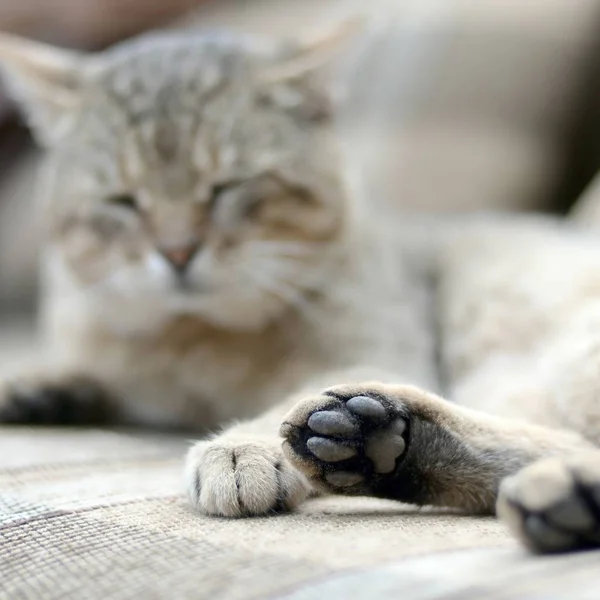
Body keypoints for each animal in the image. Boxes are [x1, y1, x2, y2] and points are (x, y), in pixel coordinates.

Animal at [1, 25, 600, 556]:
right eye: (122, 201)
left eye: (228, 188)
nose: (177, 252)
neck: (198, 338)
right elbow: (92, 371)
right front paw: (39, 385)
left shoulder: (376, 351)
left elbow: (282, 404)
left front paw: (243, 447)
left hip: (564, 366)